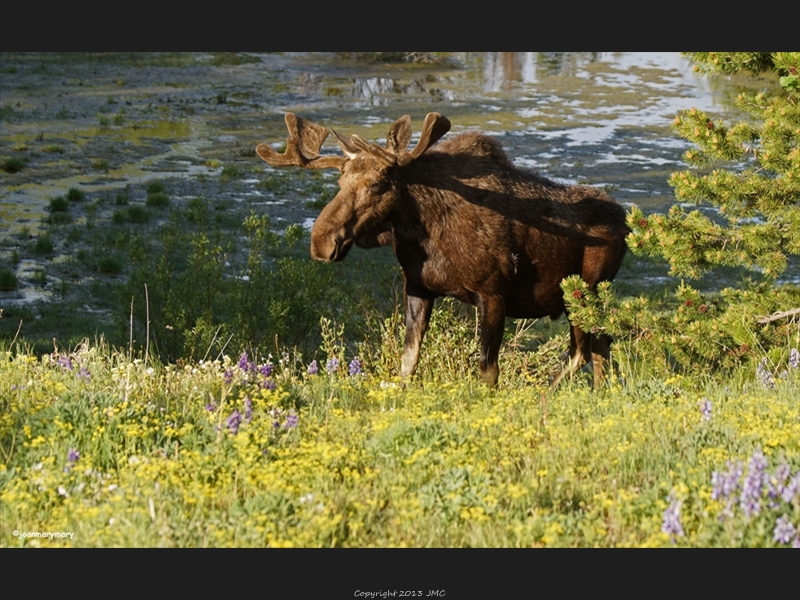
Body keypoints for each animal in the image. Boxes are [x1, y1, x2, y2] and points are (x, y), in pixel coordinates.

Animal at [256, 111, 632, 390]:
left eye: (377, 185)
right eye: (339, 182)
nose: (322, 241)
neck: (421, 231)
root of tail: (626, 222)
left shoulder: (493, 294)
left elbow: (487, 371)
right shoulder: (418, 288)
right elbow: (408, 362)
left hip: (583, 293)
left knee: (581, 352)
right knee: (601, 348)